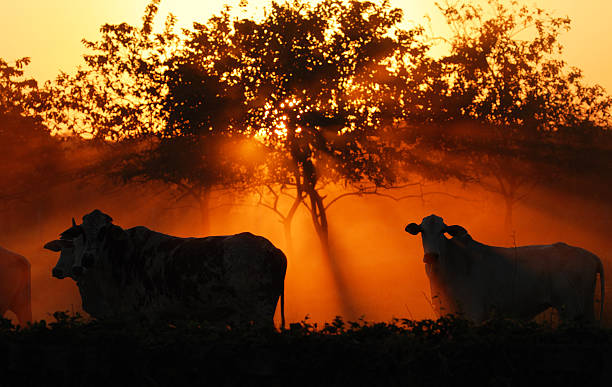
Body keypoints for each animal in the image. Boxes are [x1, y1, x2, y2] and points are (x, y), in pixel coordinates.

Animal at [44, 211, 288, 328]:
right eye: (83, 232)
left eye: (104, 231)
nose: (85, 261)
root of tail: (274, 250)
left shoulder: (147, 317)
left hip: (261, 312)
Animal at [404, 215, 604, 324]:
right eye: (422, 230)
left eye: (442, 231)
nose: (431, 256)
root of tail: (591, 255)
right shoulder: (444, 311)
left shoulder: (474, 312)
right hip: (584, 307)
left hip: (571, 308)